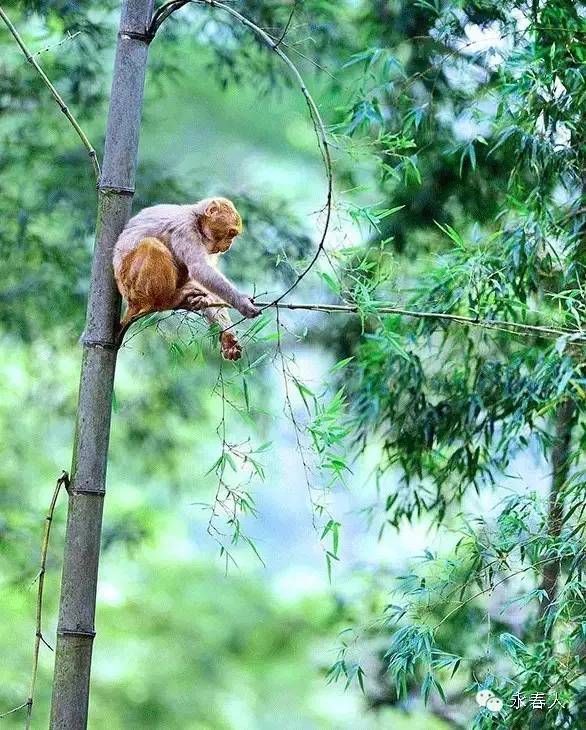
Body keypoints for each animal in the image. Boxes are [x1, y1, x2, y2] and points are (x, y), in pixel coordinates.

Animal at [113, 198, 258, 360]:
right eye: (231, 233)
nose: (229, 244)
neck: (196, 220)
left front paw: (228, 338)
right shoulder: (185, 230)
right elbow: (199, 268)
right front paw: (243, 303)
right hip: (132, 285)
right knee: (152, 245)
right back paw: (166, 301)